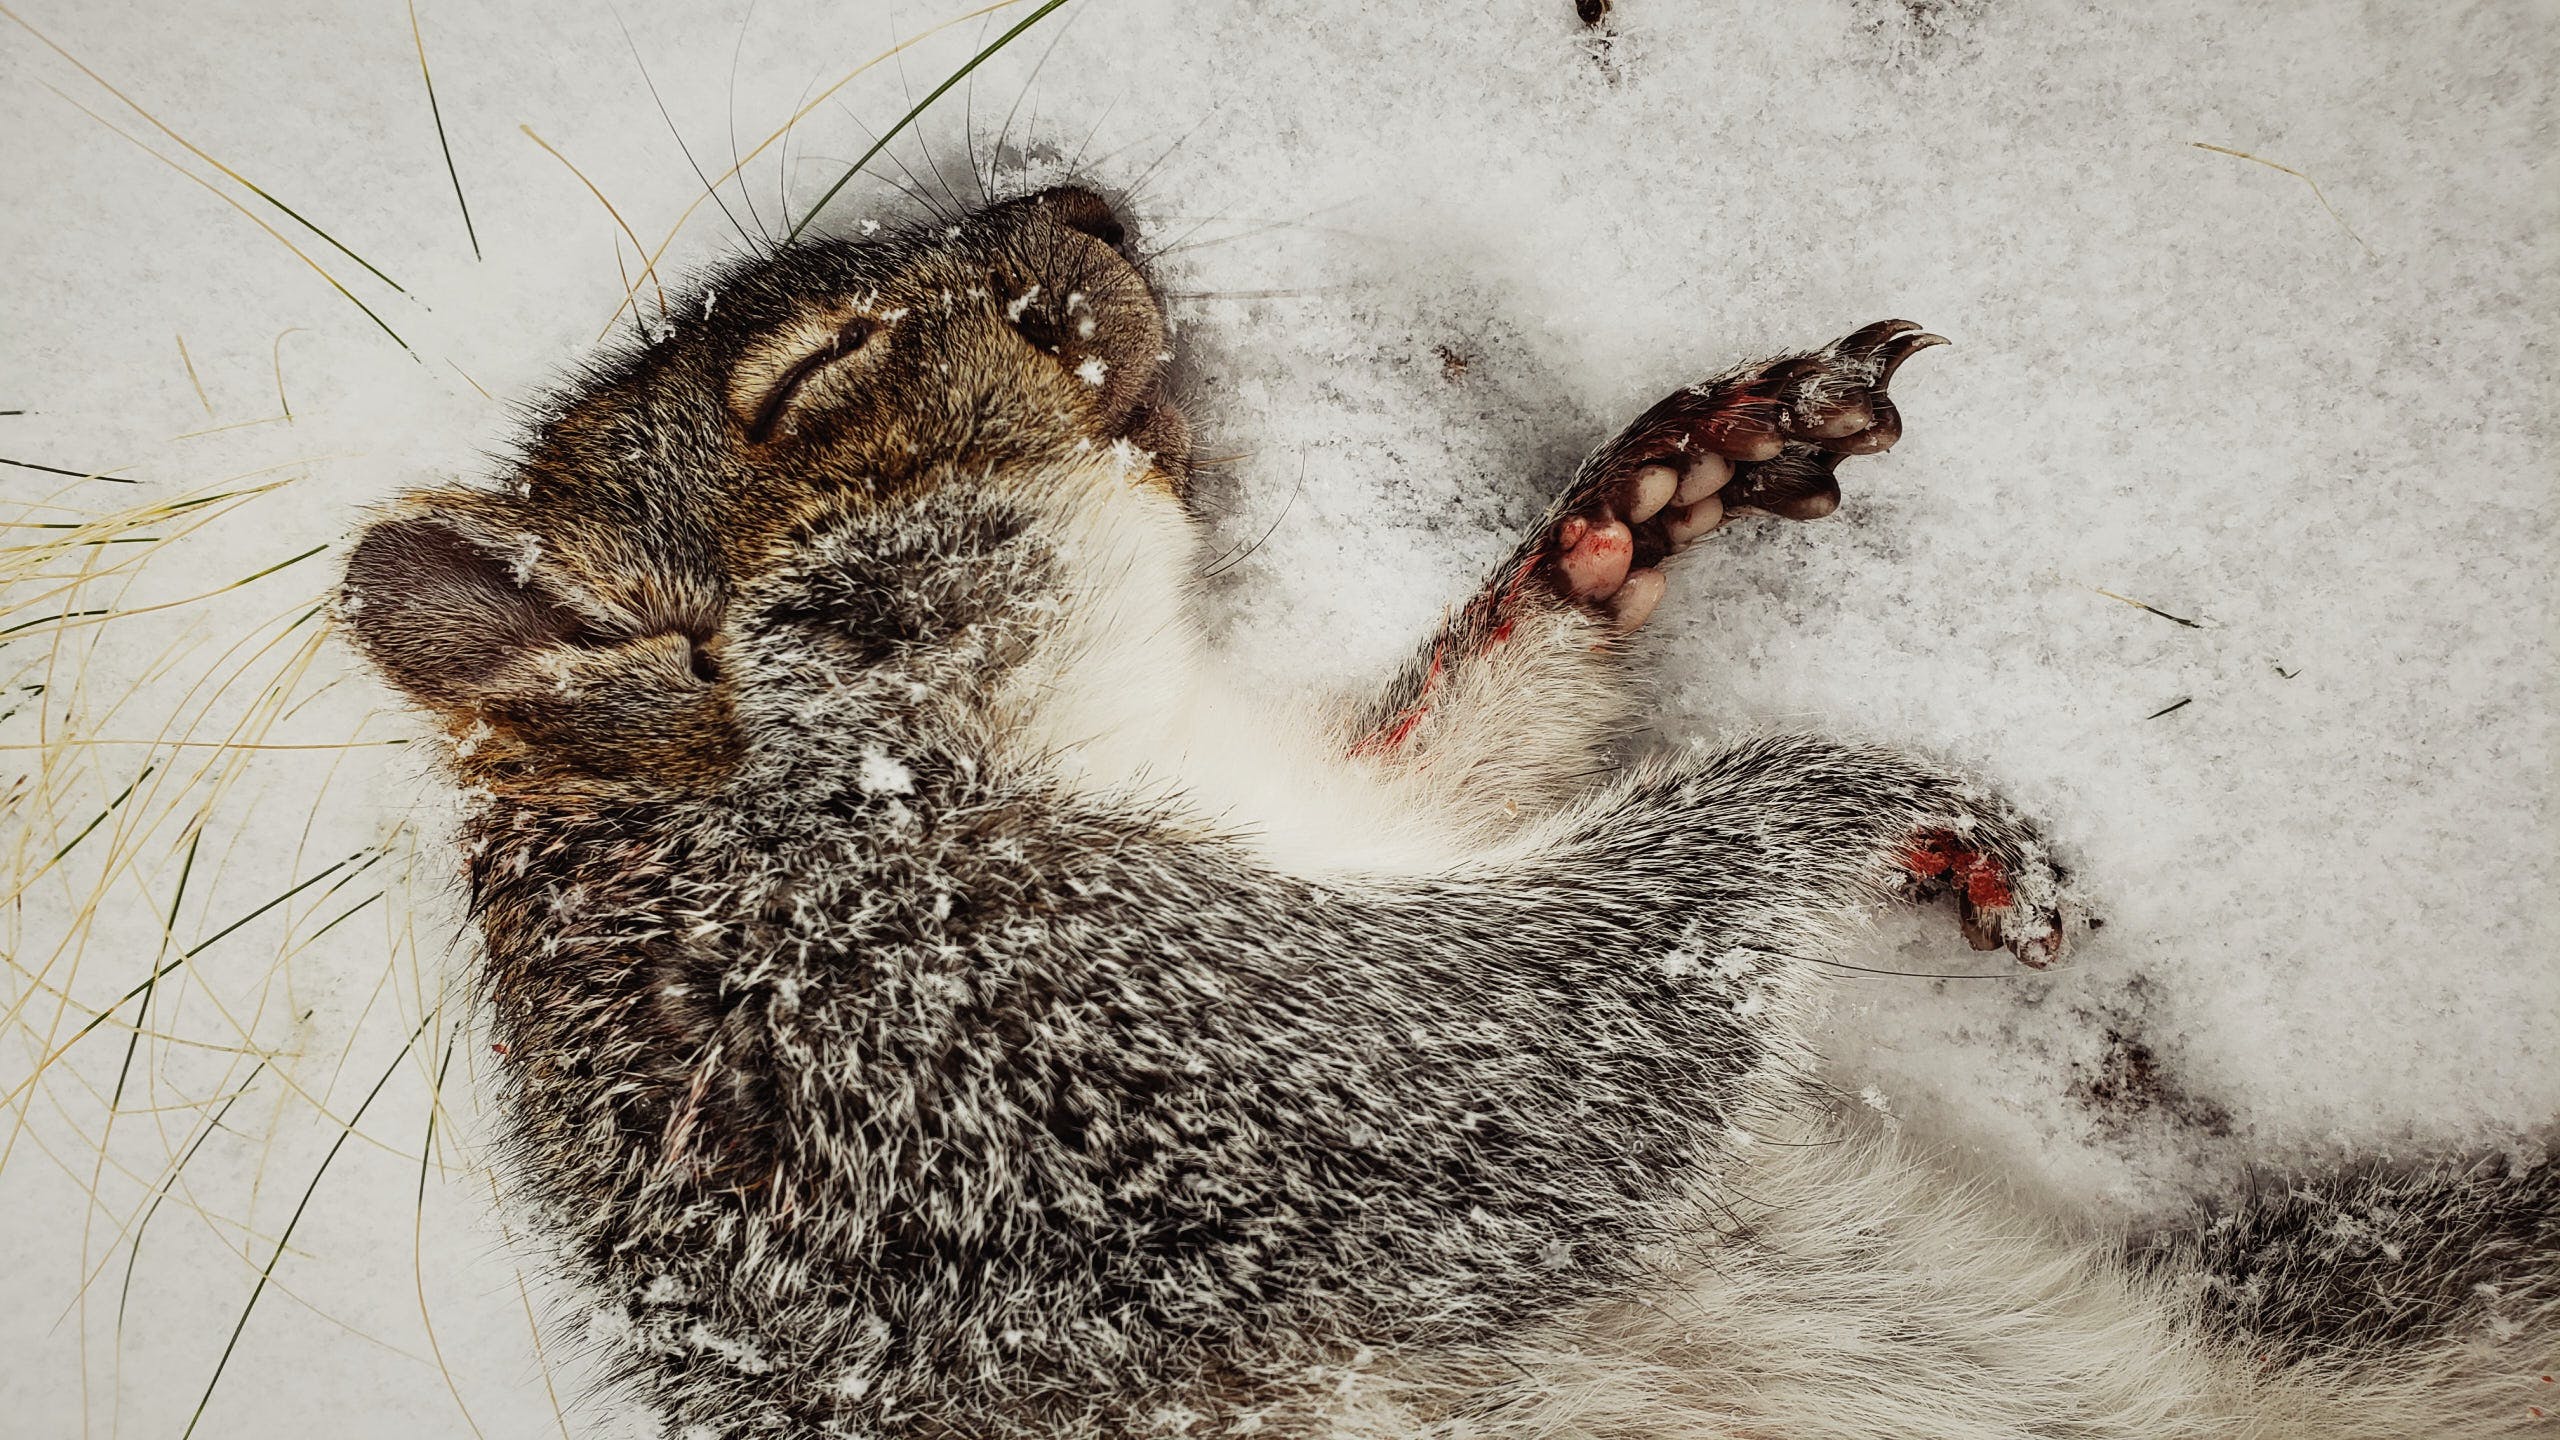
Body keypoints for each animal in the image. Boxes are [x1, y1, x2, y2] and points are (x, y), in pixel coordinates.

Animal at [342, 186, 2556, 1438]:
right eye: (819, 381)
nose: (1080, 196)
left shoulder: (1330, 819)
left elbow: (1455, 763)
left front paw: (1637, 512)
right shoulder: (1007, 1065)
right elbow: (1554, 1062)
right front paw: (1859, 800)